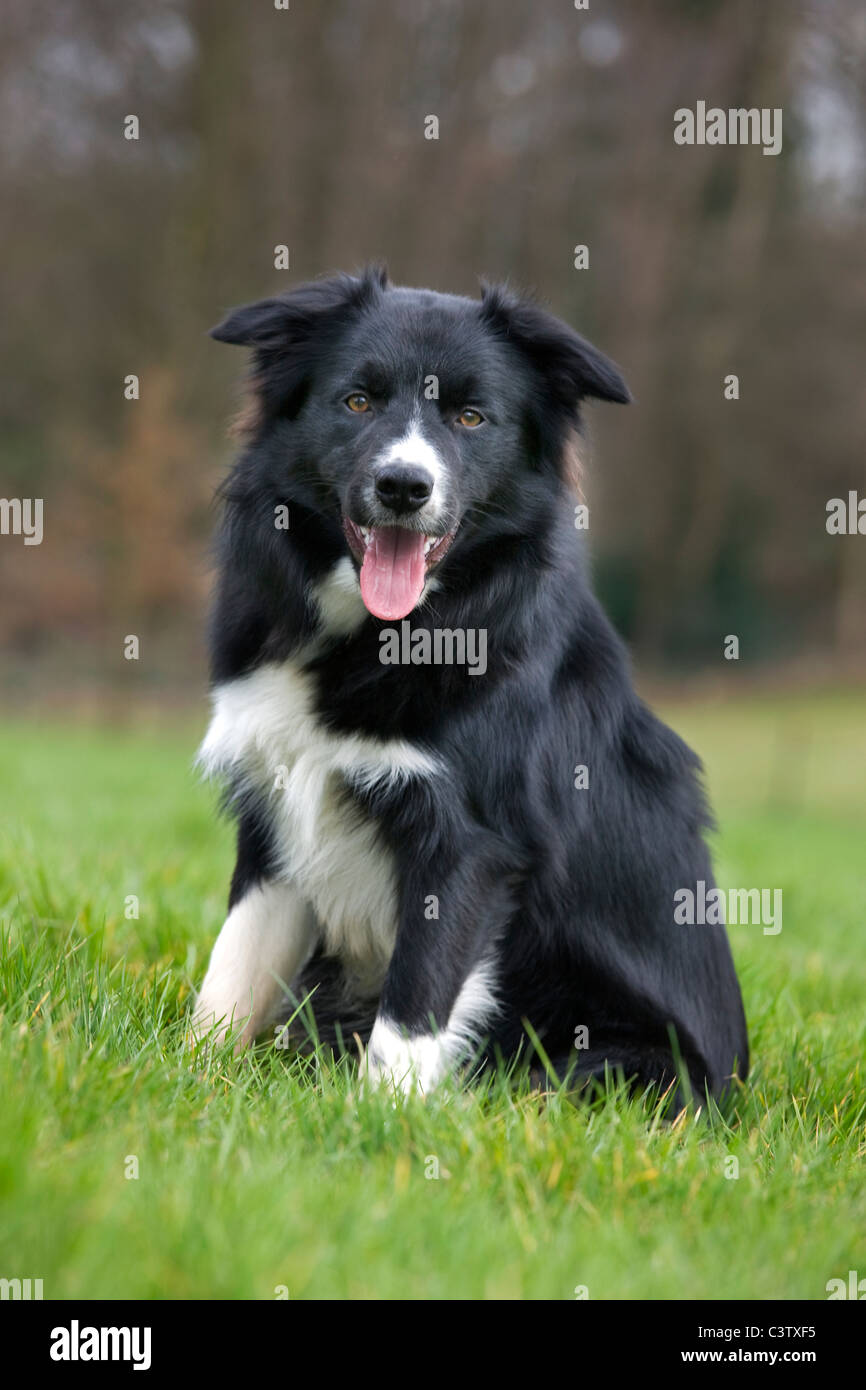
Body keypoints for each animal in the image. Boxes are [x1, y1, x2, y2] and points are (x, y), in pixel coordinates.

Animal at [193, 265, 750, 1100]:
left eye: (470, 417)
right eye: (357, 401)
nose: (403, 487)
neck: (384, 631)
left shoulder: (473, 840)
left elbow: (412, 1011)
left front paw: (379, 1116)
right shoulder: (279, 805)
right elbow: (231, 972)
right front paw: (188, 1076)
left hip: (620, 1065)